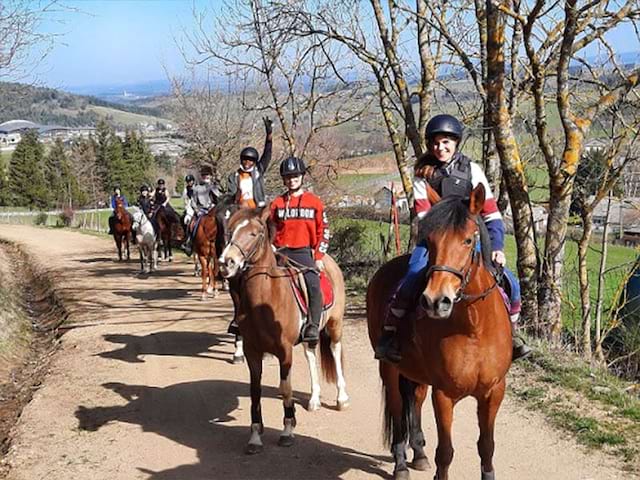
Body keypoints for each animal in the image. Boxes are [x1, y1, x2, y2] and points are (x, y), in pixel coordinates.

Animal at [219, 206, 350, 454]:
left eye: (254, 233)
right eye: (229, 231)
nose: (226, 262)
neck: (266, 299)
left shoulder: (284, 351)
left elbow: (286, 388)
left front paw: (288, 430)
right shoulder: (252, 351)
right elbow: (255, 391)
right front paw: (255, 436)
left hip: (335, 324)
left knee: (335, 352)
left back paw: (342, 398)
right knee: (311, 355)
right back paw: (314, 399)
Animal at [368, 184, 512, 480]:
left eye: (468, 240)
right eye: (430, 241)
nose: (436, 300)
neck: (474, 328)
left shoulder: (493, 392)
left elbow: (487, 446)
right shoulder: (444, 395)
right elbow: (445, 452)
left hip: (417, 373)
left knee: (415, 400)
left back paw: (418, 452)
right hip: (389, 369)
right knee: (398, 408)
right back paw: (401, 463)